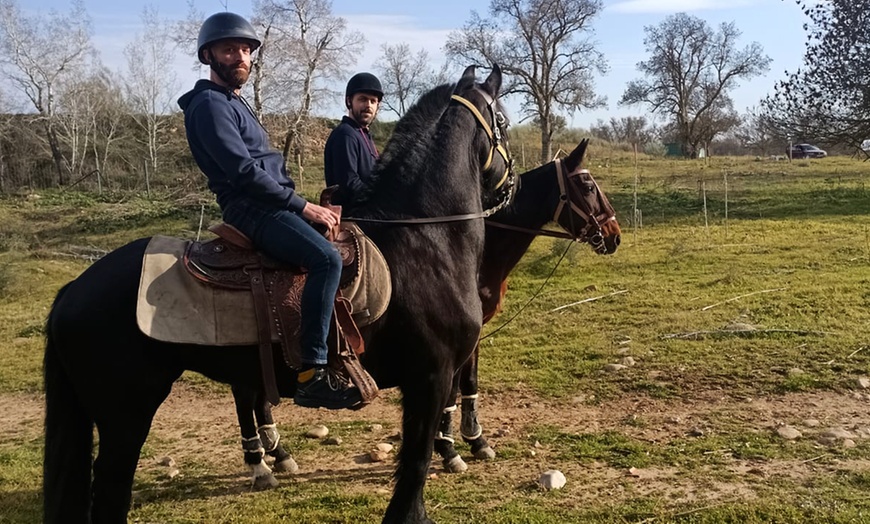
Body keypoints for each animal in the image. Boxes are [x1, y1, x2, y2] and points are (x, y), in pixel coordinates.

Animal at [42, 64, 513, 524]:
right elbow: (414, 466)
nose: (510, 190)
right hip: (126, 414)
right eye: (505, 122)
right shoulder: (431, 377)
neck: (423, 239)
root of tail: (73, 290)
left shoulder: (437, 375)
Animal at [228, 138, 621, 486]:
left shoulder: (472, 334)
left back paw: (276, 452)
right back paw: (264, 459)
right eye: (587, 185)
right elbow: (454, 389)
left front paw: (474, 440)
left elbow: (469, 383)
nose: (614, 234)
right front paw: (450, 447)